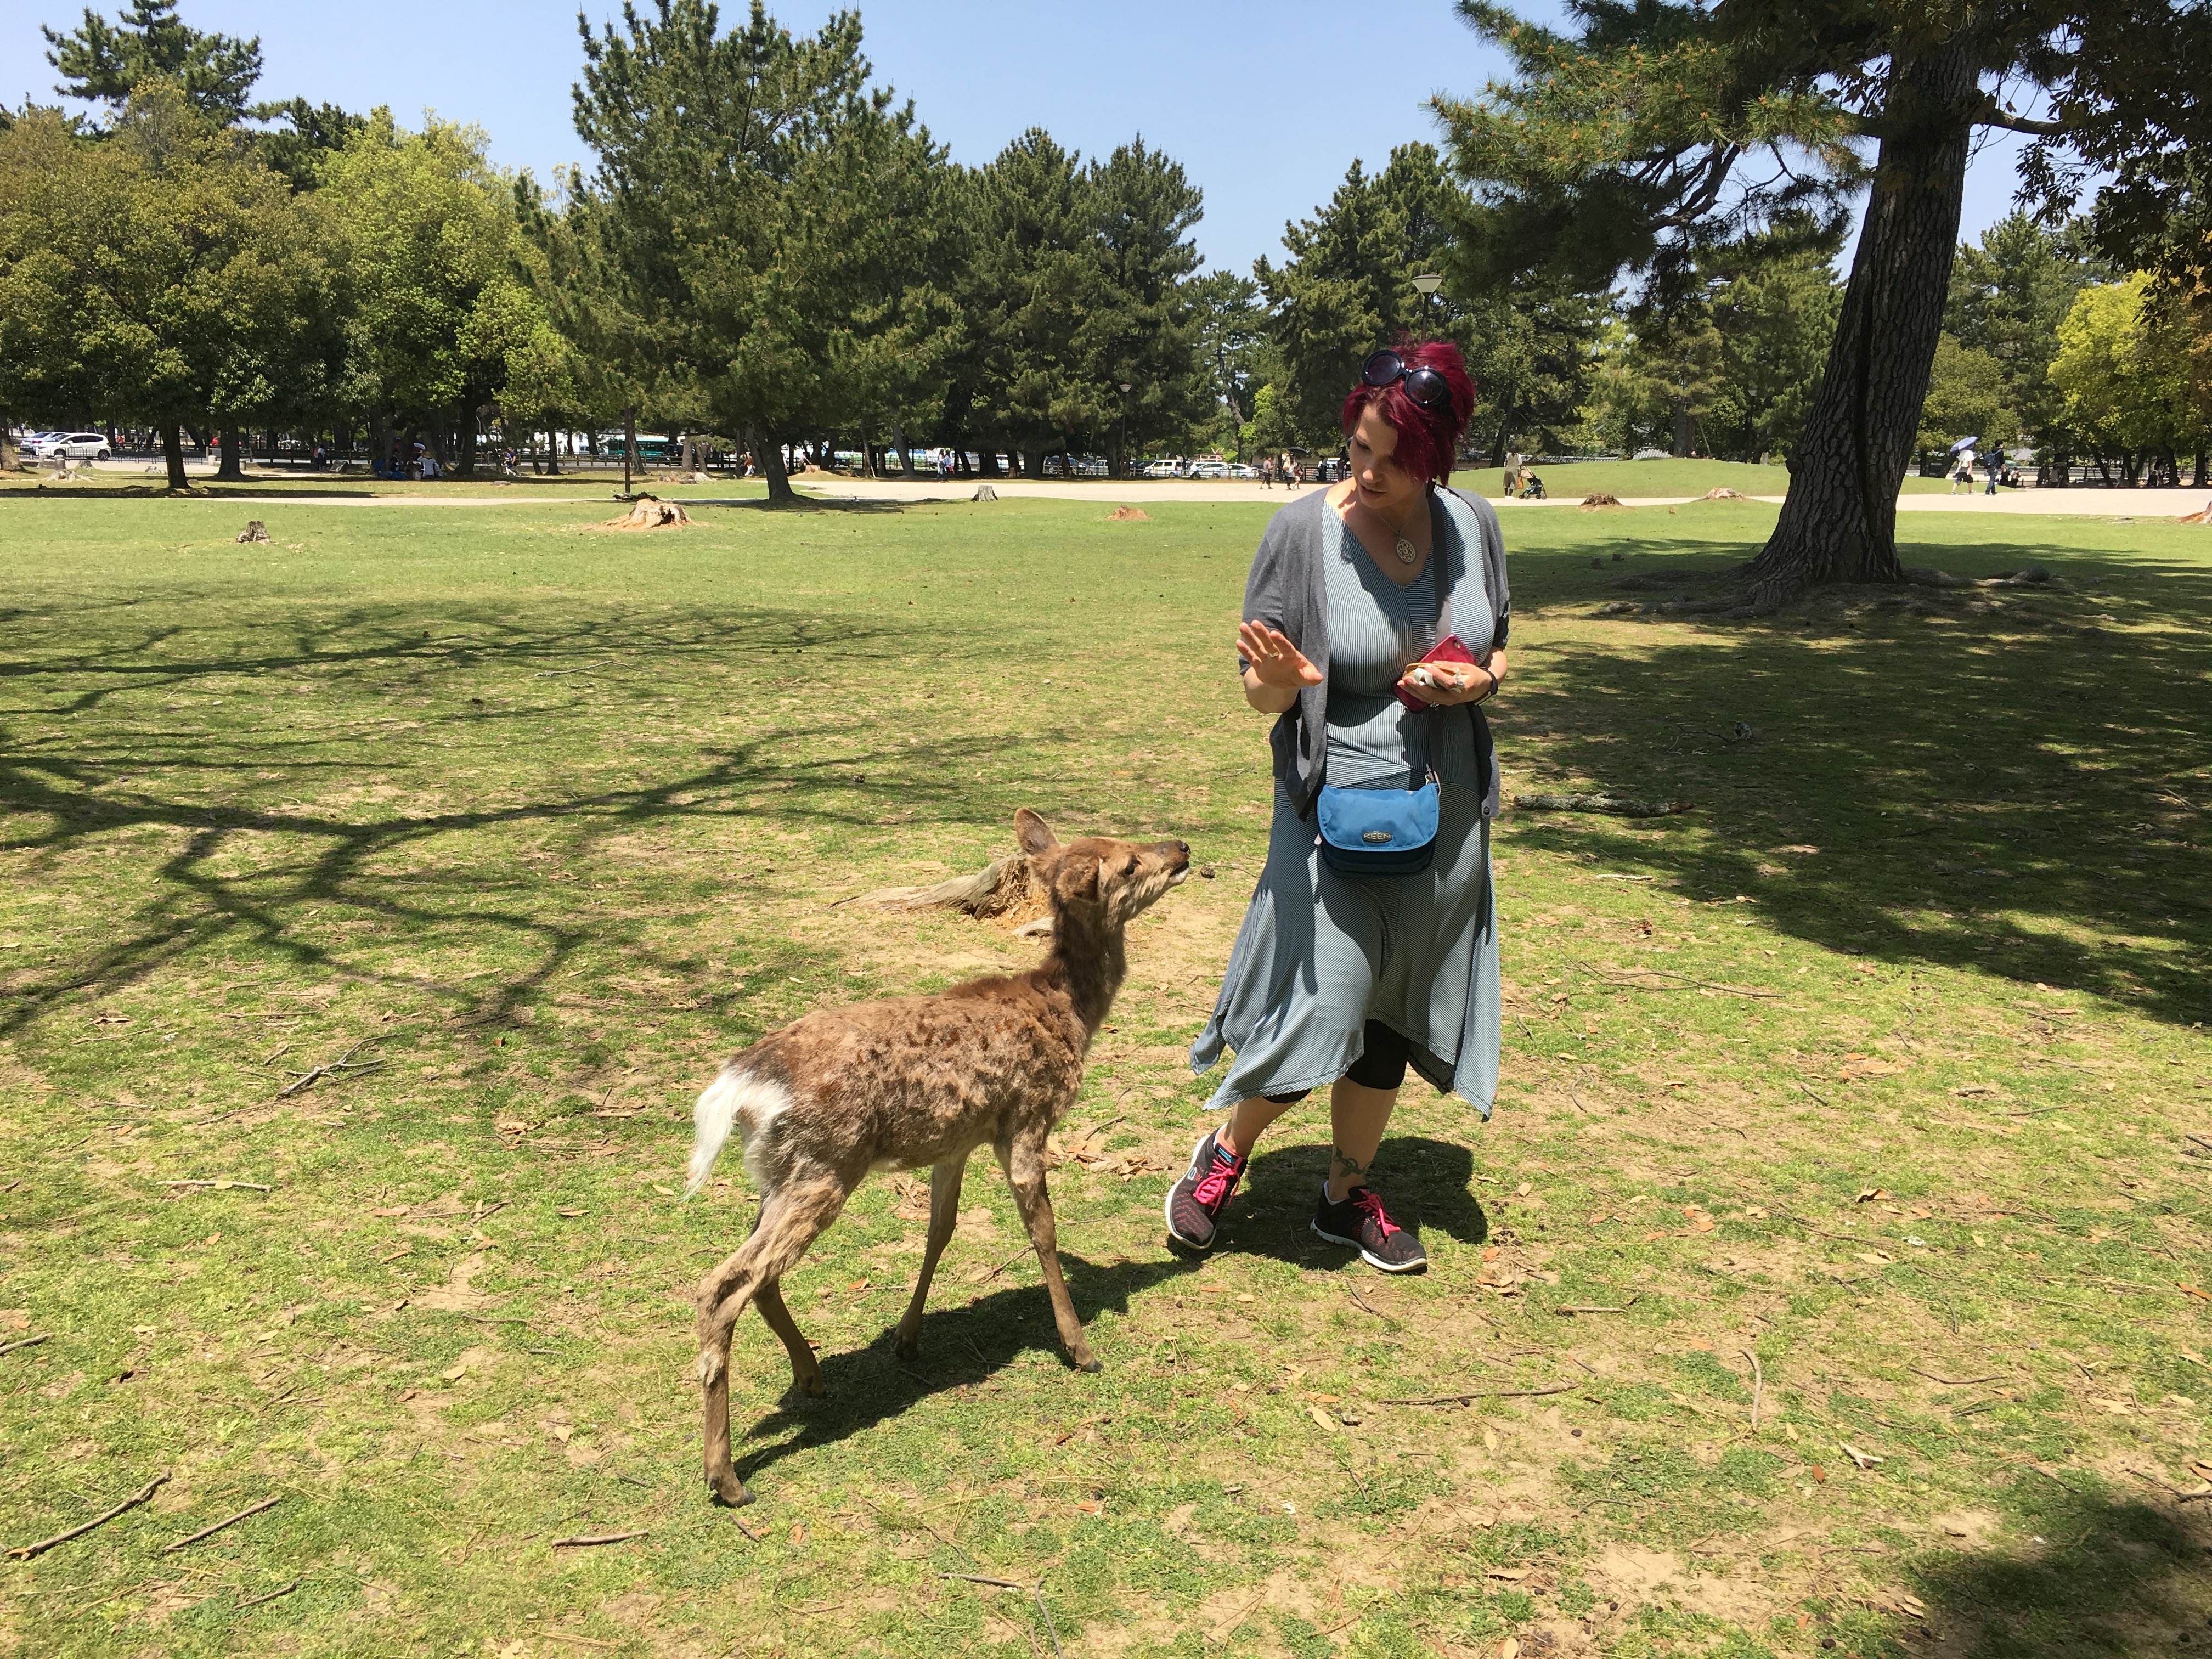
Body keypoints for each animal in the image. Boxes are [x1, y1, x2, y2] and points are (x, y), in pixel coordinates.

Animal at [684, 809, 1192, 1507]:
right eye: (1129, 864)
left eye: (1126, 841)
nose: (1183, 848)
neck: (1068, 1012)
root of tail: (742, 1085)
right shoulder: (1026, 1120)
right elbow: (1043, 1231)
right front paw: (1080, 1347)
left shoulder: (957, 1141)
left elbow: (939, 1231)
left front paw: (907, 1336)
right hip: (825, 1168)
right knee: (722, 1286)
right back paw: (727, 1477)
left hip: (780, 1174)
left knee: (759, 1277)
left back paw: (810, 1376)